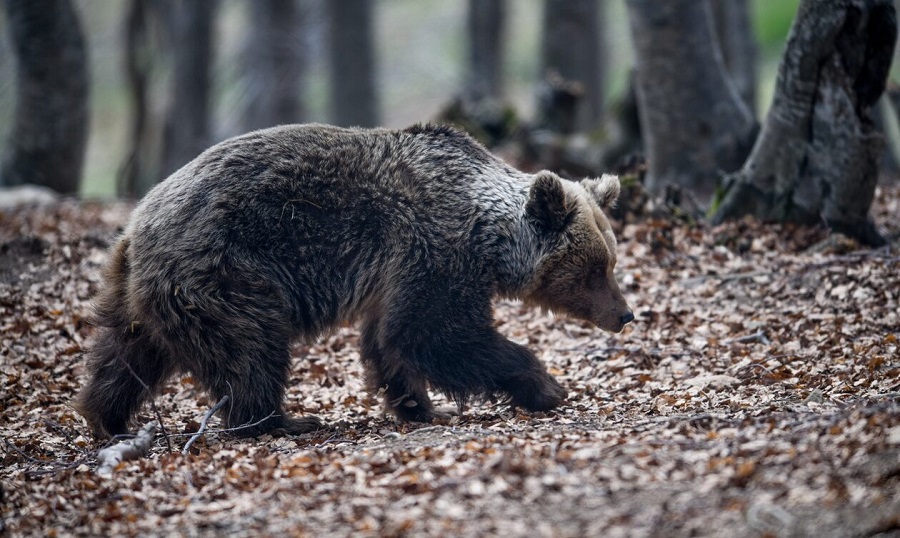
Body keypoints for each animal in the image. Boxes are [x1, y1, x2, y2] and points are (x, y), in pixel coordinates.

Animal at [75, 124, 632, 436]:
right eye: (594, 269)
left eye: (610, 260)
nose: (625, 314)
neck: (486, 238)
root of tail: (136, 227)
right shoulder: (435, 249)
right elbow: (435, 334)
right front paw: (545, 385)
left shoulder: (398, 272)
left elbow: (391, 341)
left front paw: (420, 407)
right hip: (225, 271)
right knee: (251, 347)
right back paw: (279, 421)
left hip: (144, 295)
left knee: (126, 352)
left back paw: (107, 417)